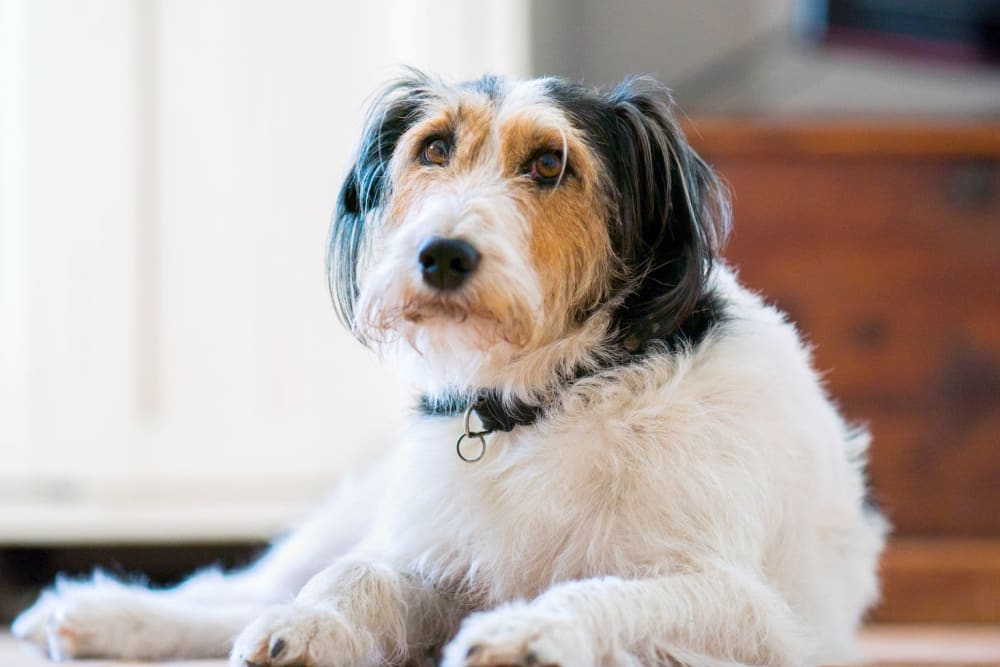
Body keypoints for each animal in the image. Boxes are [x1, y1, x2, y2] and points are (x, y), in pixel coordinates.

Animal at [11, 74, 888, 667]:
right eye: (434, 148)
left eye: (549, 164)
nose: (441, 254)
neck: (546, 402)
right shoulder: (431, 549)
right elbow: (358, 576)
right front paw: (311, 627)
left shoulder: (745, 607)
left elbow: (611, 592)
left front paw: (530, 629)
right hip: (370, 508)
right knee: (250, 585)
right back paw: (100, 614)